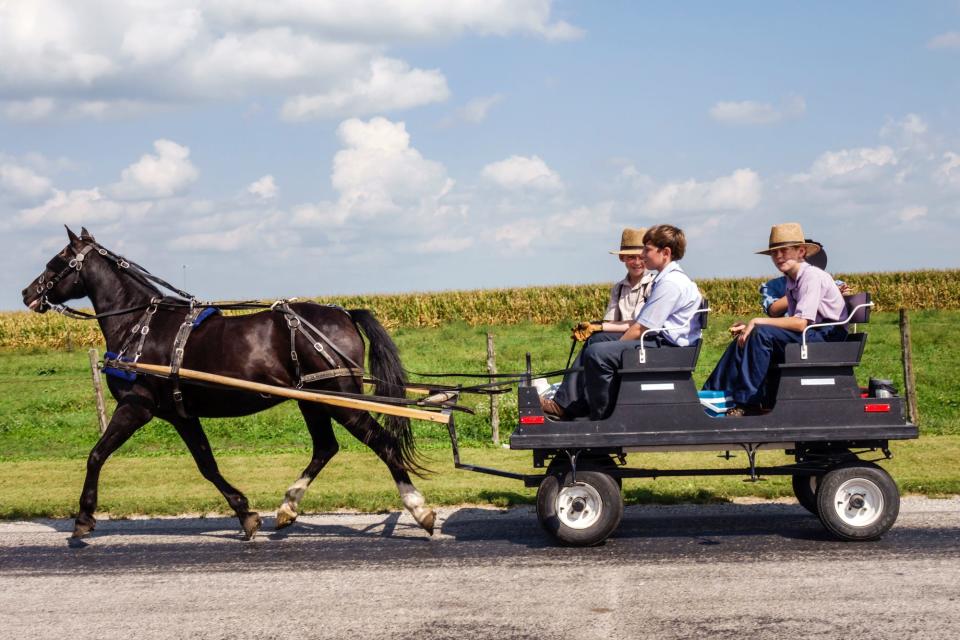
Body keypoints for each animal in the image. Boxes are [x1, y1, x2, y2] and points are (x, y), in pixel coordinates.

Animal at [22, 228, 436, 536]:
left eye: (55, 262)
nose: (27, 293)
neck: (139, 325)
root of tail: (344, 314)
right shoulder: (181, 414)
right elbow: (207, 464)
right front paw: (245, 513)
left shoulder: (137, 406)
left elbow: (96, 455)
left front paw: (83, 518)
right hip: (312, 399)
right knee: (325, 448)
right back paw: (287, 507)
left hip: (339, 398)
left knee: (381, 442)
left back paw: (419, 508)